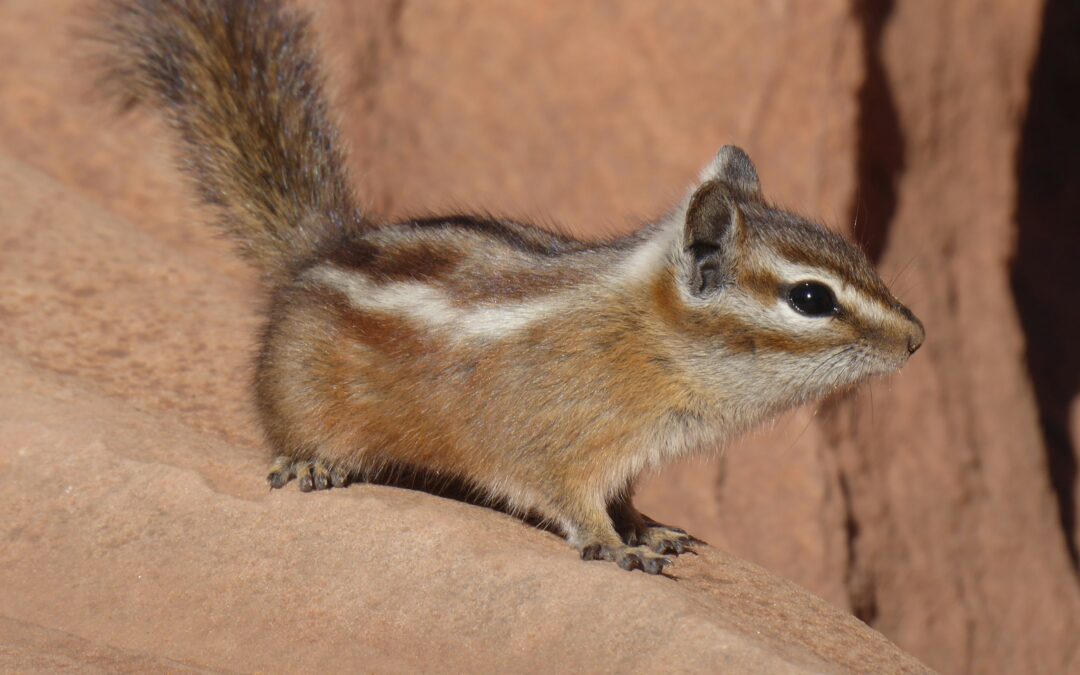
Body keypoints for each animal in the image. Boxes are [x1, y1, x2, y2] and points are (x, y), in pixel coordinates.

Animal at [100, 0, 924, 574]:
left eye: (858, 252)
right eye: (812, 298)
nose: (917, 338)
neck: (646, 339)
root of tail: (319, 250)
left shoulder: (627, 453)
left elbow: (623, 494)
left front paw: (645, 523)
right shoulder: (555, 442)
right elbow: (568, 498)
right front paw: (614, 543)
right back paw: (313, 461)